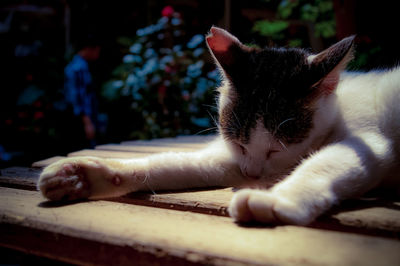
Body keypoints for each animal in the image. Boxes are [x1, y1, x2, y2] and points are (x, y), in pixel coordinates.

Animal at [38, 27, 400, 225]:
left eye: (275, 149)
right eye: (240, 144)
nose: (252, 175)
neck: (337, 111)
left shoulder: (369, 144)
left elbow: (322, 164)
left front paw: (277, 201)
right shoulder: (232, 160)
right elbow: (174, 163)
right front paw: (85, 175)